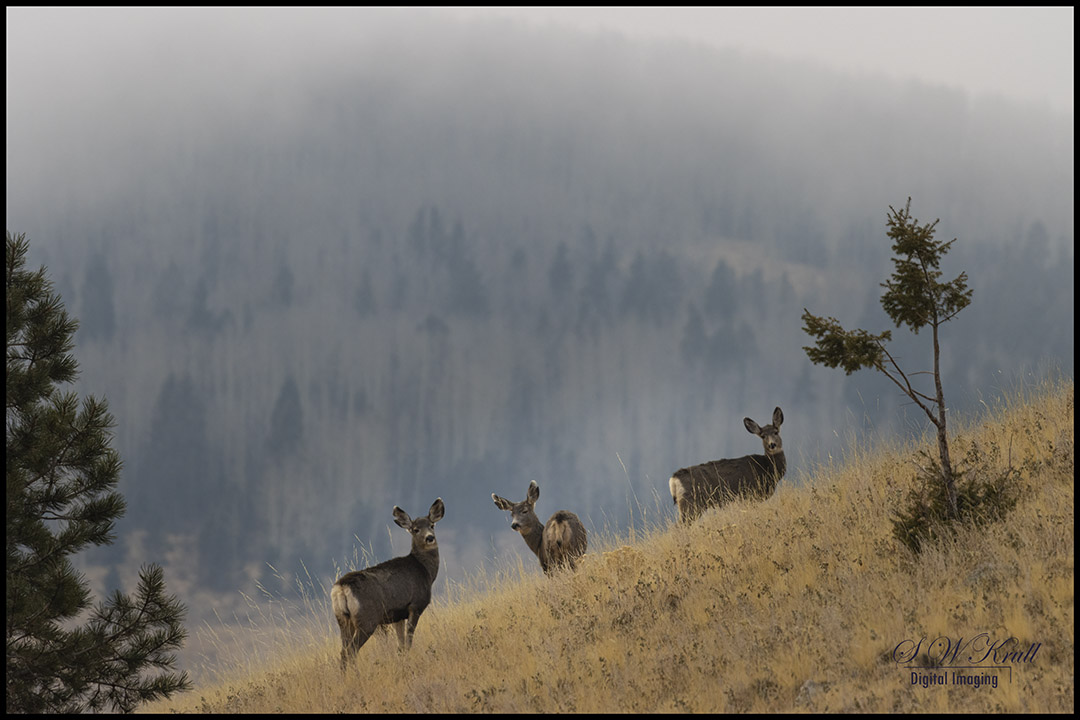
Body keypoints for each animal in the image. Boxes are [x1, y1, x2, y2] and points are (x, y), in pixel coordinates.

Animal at [330, 498, 444, 671]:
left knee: (343, 652)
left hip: (342, 619)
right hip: (367, 619)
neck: (425, 571)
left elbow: (401, 646)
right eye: (415, 529)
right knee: (352, 650)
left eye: (432, 525)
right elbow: (408, 642)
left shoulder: (398, 615)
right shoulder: (415, 605)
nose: (430, 538)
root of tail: (341, 588)